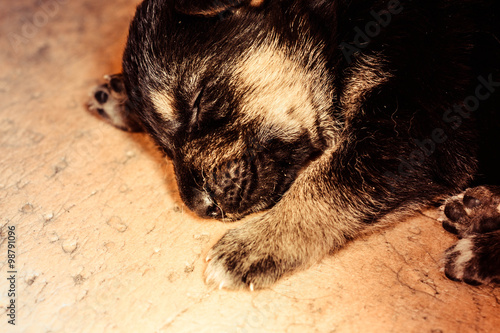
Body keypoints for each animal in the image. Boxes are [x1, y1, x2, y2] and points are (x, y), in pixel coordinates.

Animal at [88, 0, 500, 288]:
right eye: (162, 149)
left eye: (199, 102)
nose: (203, 207)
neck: (338, 26)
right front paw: (122, 97)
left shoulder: (422, 118)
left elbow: (330, 180)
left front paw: (259, 242)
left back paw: (477, 248)